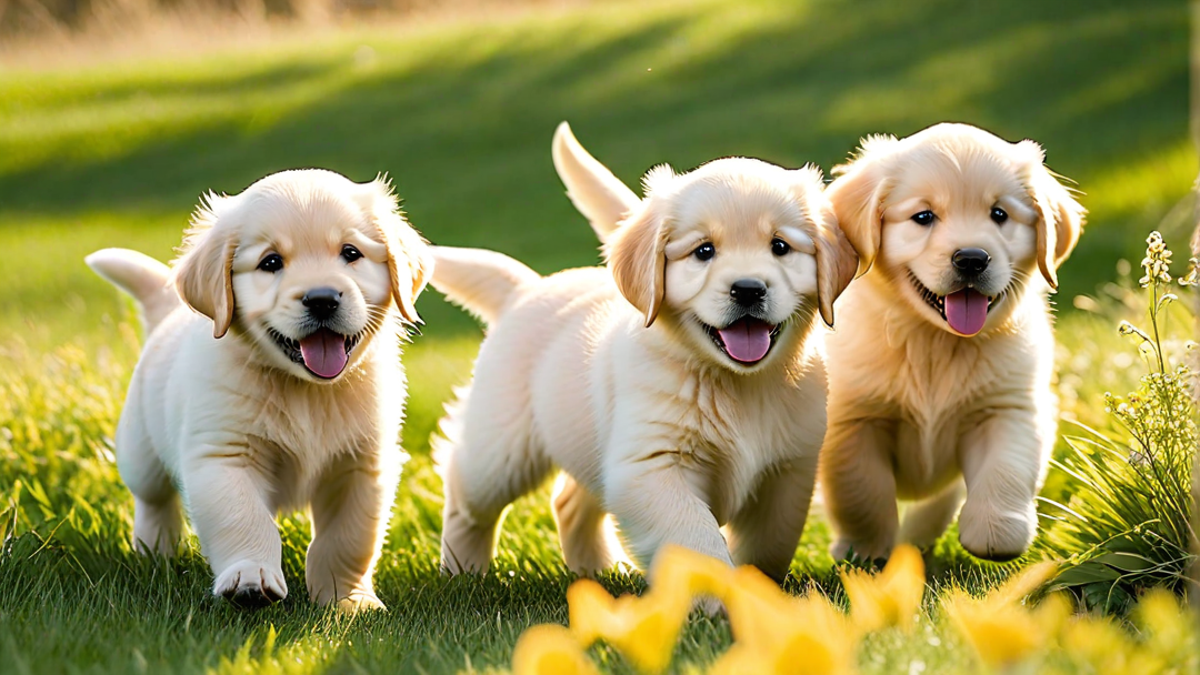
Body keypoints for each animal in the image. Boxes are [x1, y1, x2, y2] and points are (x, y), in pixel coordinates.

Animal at [85, 169, 432, 610]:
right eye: (271, 262)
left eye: (351, 253)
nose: (322, 299)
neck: (304, 389)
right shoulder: (224, 456)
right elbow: (245, 520)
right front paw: (250, 578)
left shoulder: (361, 465)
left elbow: (348, 539)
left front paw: (347, 599)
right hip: (139, 451)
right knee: (153, 500)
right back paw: (156, 551)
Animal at [820, 123, 1084, 559]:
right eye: (923, 217)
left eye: (999, 214)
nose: (972, 259)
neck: (933, 341)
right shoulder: (854, 420)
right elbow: (863, 491)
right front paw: (865, 550)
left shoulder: (1008, 407)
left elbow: (1005, 468)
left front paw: (995, 533)